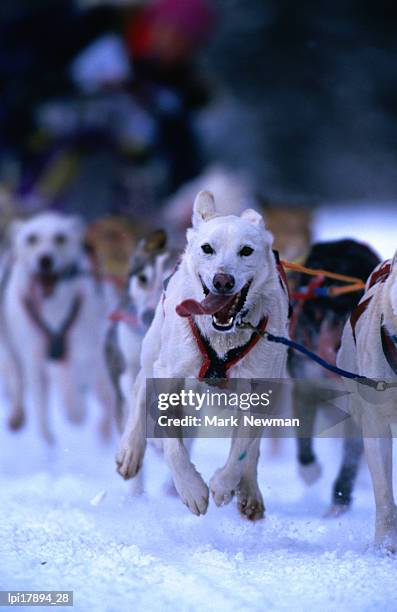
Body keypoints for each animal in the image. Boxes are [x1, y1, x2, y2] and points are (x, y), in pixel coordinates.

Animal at [1, 213, 115, 442]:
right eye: (31, 238)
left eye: (60, 238)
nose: (45, 259)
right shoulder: (33, 355)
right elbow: (40, 404)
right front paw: (47, 437)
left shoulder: (81, 349)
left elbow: (73, 393)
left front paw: (76, 411)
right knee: (18, 380)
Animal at [116, 190, 290, 516]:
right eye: (207, 248)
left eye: (246, 251)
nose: (223, 280)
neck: (223, 339)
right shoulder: (169, 375)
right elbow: (173, 445)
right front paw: (191, 489)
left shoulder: (260, 389)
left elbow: (244, 449)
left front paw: (223, 484)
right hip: (152, 352)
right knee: (138, 390)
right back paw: (130, 451)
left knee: (253, 448)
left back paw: (249, 492)